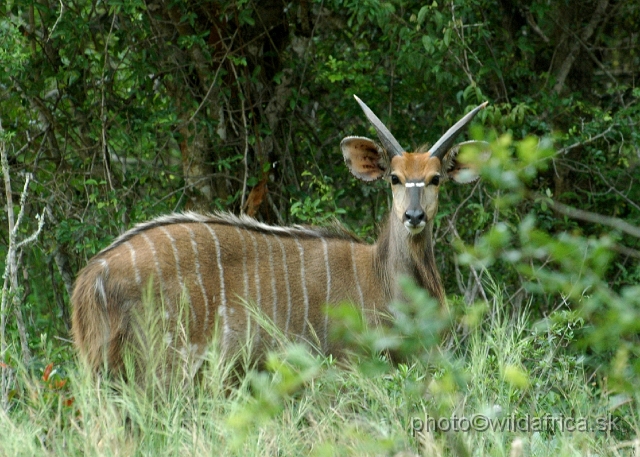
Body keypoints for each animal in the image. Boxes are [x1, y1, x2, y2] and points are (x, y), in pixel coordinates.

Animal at [71, 96, 490, 374]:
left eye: (435, 178)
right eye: (394, 178)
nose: (413, 215)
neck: (381, 276)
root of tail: (91, 277)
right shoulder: (350, 361)